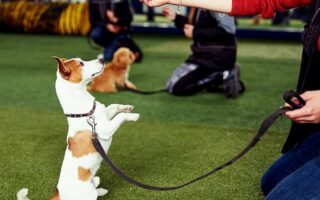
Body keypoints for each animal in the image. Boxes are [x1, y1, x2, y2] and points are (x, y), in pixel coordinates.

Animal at [16, 56, 139, 200]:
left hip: (95, 179)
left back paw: (102, 190)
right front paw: (133, 116)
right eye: (81, 63)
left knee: (97, 185)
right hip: (89, 193)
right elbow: (121, 116)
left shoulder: (105, 116)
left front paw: (127, 107)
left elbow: (114, 106)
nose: (102, 59)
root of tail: (59, 194)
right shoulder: (106, 129)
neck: (85, 111)